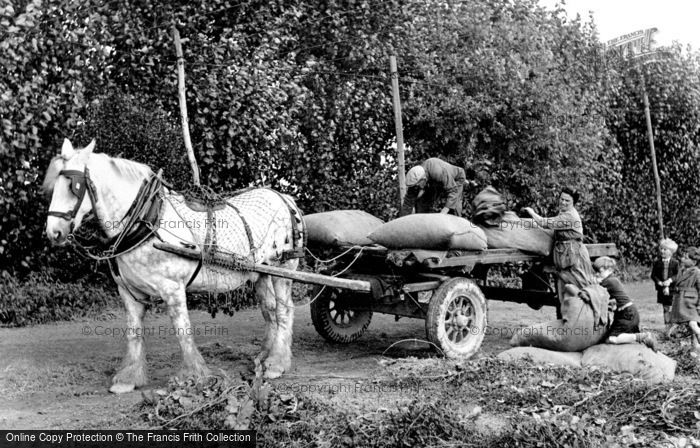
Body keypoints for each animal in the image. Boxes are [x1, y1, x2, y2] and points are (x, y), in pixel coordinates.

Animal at [43, 139, 304, 392]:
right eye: (53, 186)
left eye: (74, 187)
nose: (53, 233)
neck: (146, 222)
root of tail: (285, 198)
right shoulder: (128, 292)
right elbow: (134, 333)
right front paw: (129, 378)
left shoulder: (173, 289)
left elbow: (182, 331)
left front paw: (194, 376)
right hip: (260, 273)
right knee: (270, 310)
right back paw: (264, 357)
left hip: (283, 268)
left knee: (284, 311)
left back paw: (276, 363)